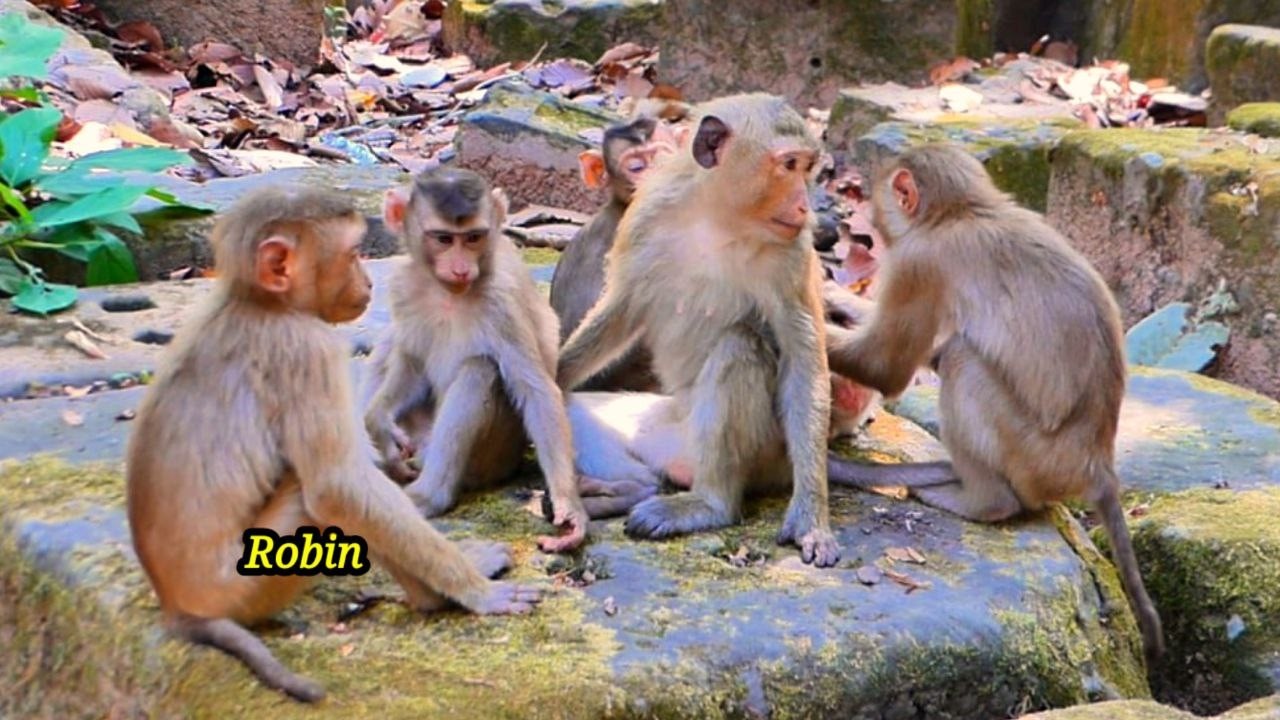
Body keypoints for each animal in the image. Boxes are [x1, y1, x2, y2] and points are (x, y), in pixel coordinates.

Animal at [125, 187, 542, 703]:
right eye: (353, 253)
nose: (368, 281)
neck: (258, 303)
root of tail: (175, 604)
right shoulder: (308, 348)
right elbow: (337, 487)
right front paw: (476, 591)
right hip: (246, 585)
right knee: (318, 498)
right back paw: (435, 594)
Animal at [362, 167, 589, 553]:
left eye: (472, 238)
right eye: (443, 239)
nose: (460, 268)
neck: (449, 292)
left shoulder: (503, 303)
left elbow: (536, 391)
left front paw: (569, 507)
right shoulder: (404, 286)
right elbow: (411, 361)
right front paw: (379, 424)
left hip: (489, 458)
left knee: (479, 370)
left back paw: (428, 496)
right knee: (391, 341)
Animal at [556, 93, 840, 567]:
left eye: (806, 167)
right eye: (788, 165)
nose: (805, 206)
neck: (718, 218)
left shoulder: (791, 254)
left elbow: (801, 361)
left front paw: (810, 517)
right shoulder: (644, 217)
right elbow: (620, 310)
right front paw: (549, 374)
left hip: (768, 451)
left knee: (737, 347)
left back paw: (709, 504)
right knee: (577, 411)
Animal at [823, 143, 1164, 661]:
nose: (875, 231)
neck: (965, 211)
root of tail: (1097, 465)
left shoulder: (919, 261)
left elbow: (887, 367)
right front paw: (835, 297)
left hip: (1031, 458)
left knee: (961, 360)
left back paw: (983, 503)